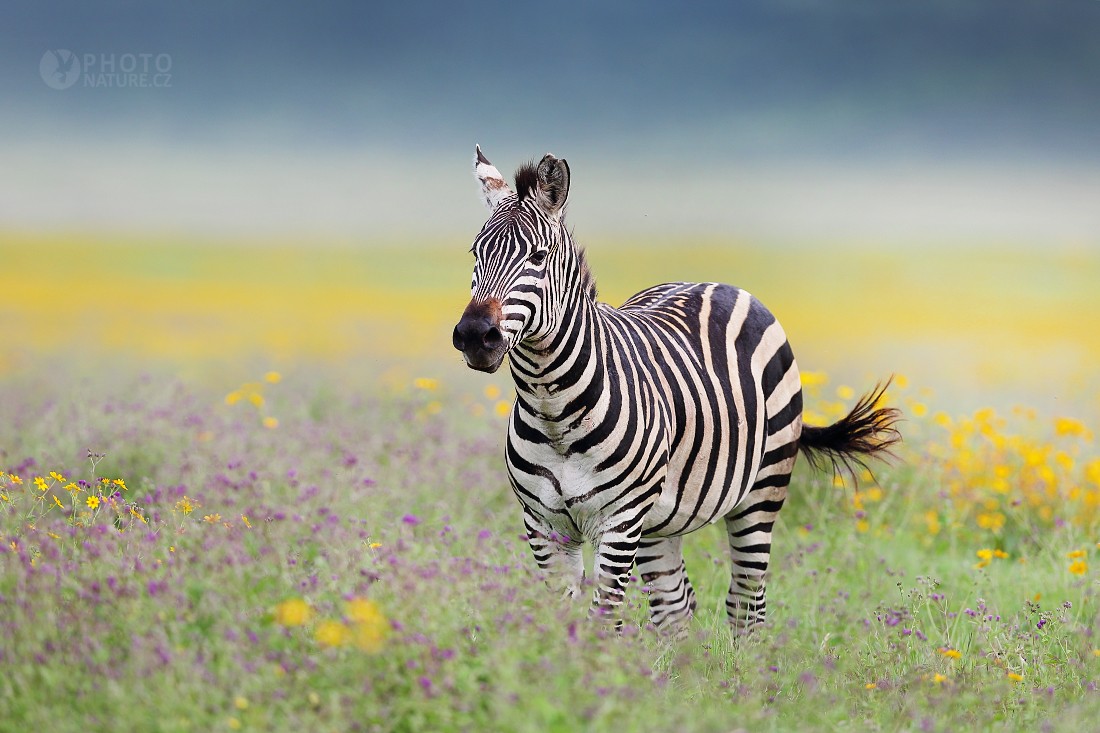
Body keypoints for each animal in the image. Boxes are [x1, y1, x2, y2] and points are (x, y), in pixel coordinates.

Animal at [451, 147, 897, 629]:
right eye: (475, 253)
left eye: (538, 255)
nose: (475, 335)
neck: (554, 412)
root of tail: (714, 282)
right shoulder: (543, 525)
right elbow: (560, 619)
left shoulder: (620, 521)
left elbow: (602, 621)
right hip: (659, 522)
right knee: (675, 606)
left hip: (762, 490)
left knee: (746, 604)